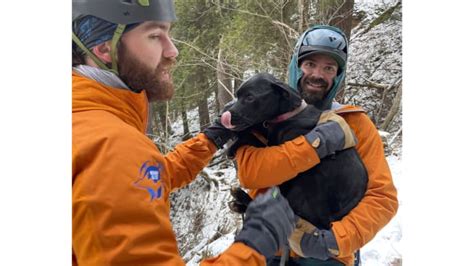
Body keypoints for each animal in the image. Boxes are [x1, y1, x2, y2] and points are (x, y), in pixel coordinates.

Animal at [220, 73, 368, 231]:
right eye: (237, 95)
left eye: (250, 97)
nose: (223, 114)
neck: (289, 115)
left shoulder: (277, 145)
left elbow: (255, 138)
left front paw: (235, 144)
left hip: (304, 184)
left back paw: (241, 198)